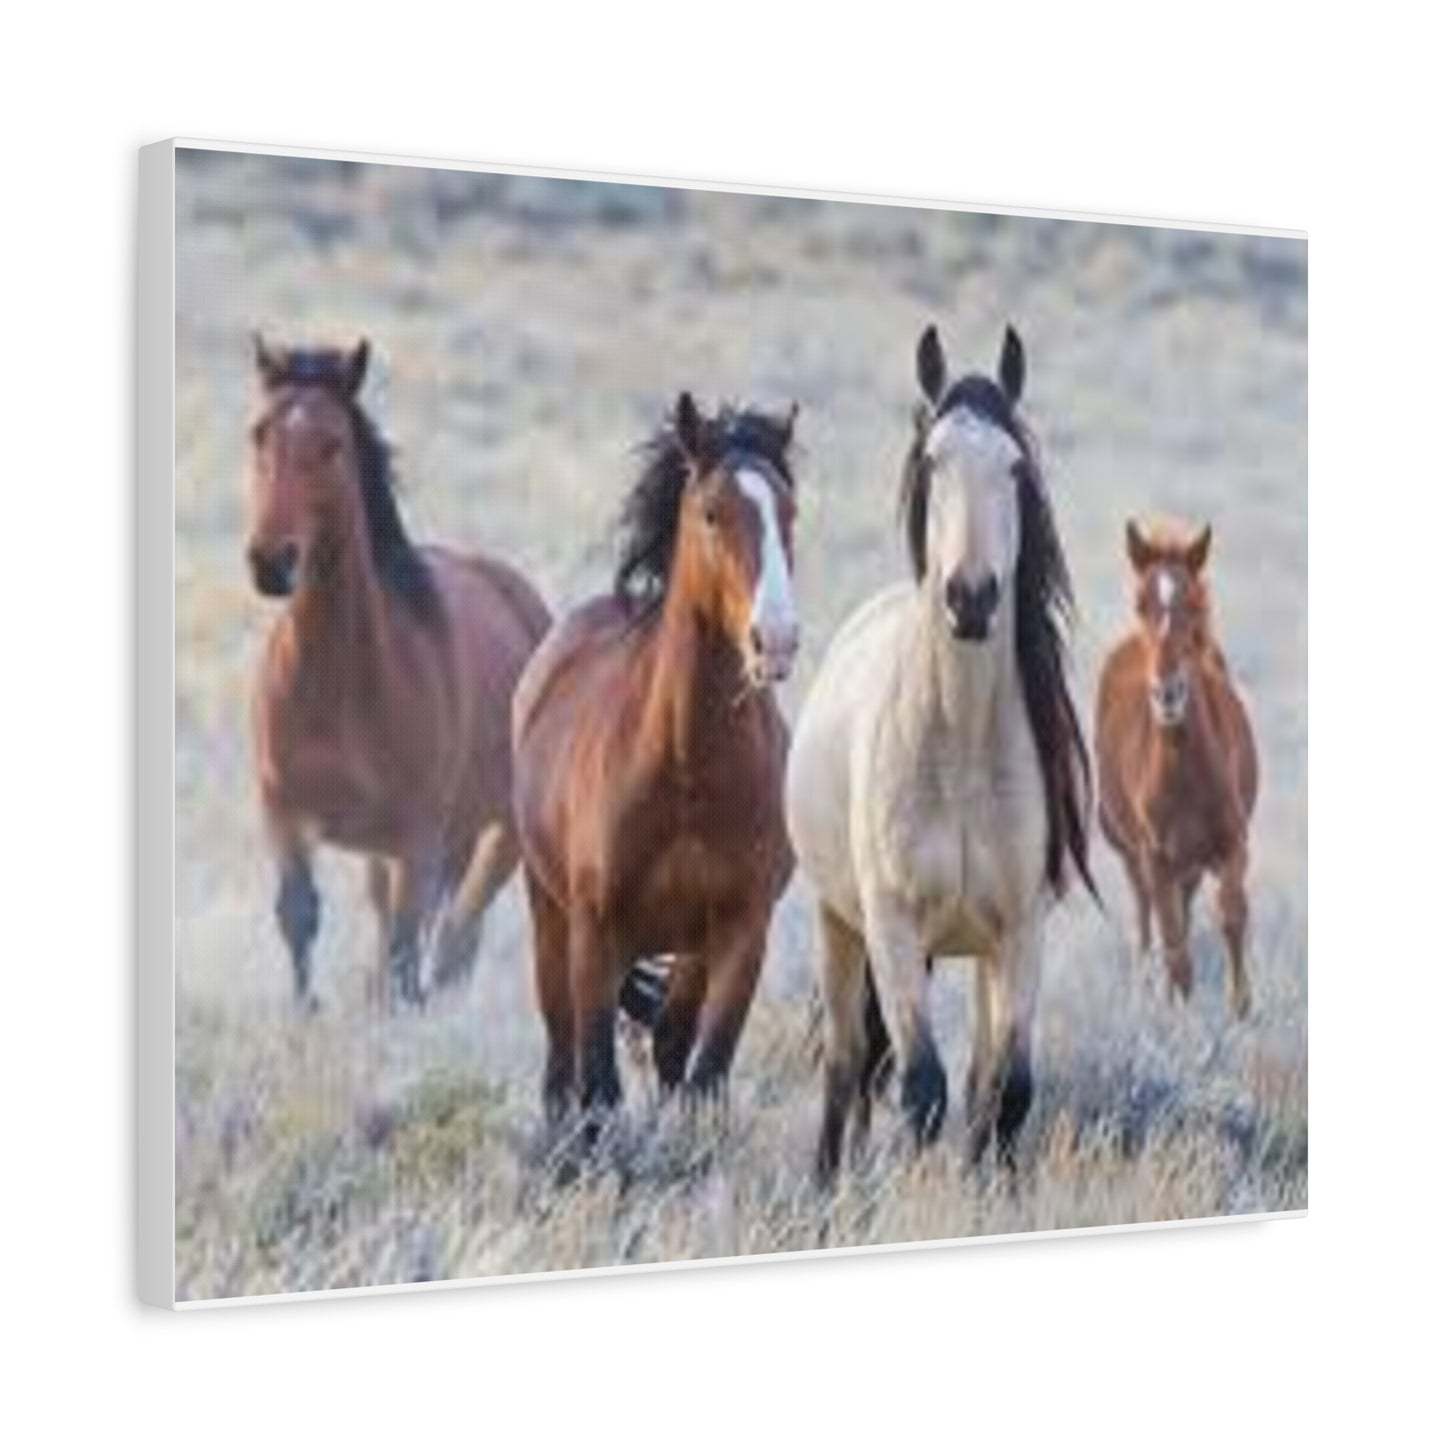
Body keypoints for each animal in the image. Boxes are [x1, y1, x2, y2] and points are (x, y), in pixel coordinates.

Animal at [245, 336, 550, 1009]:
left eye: (332, 442)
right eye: (258, 434)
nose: (271, 563)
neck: (335, 685)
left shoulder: (417, 840)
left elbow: (412, 950)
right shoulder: (283, 814)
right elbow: (299, 915)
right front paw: (306, 1014)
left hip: (496, 835)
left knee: (456, 937)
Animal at [512, 392, 800, 1124]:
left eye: (789, 511)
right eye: (711, 513)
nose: (777, 638)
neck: (686, 768)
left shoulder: (740, 930)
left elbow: (704, 1073)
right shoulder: (594, 929)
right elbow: (598, 1086)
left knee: (670, 1042)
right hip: (551, 917)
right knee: (560, 1061)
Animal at [786, 323, 1093, 1181]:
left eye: (1014, 467)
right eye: (931, 460)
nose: (970, 597)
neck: (957, 749)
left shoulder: (1020, 932)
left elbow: (1005, 1091)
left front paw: (990, 1191)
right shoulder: (890, 928)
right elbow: (920, 1088)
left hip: (979, 956)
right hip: (839, 924)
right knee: (847, 1063)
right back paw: (828, 1185)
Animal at [1094, 519, 1259, 1019]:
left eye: (1194, 604)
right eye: (1141, 603)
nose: (1167, 693)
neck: (1185, 773)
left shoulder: (1231, 841)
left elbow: (1231, 913)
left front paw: (1241, 1008)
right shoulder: (1156, 856)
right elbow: (1173, 944)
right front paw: (1180, 1018)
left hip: (1191, 863)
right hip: (1135, 856)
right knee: (1148, 922)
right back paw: (1149, 990)